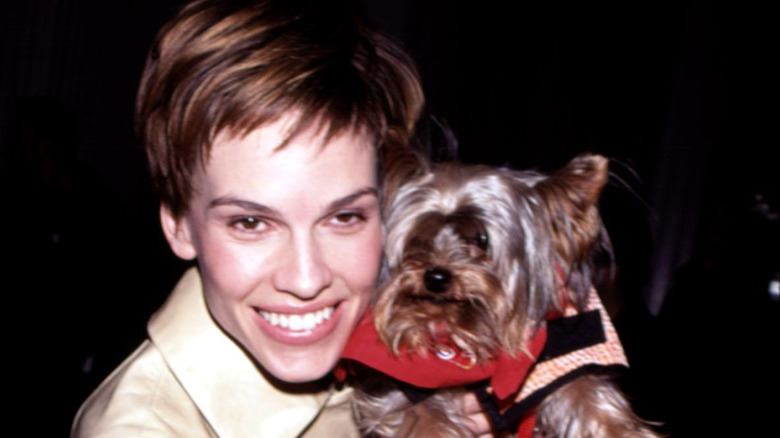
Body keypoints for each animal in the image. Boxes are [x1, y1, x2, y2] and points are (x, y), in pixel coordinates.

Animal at [342, 154, 660, 438]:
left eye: (481, 240)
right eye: (420, 239)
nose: (435, 277)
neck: (470, 332)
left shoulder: (558, 367)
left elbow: (588, 395)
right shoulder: (403, 390)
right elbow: (423, 418)